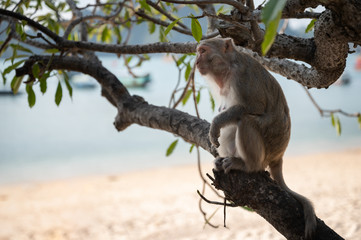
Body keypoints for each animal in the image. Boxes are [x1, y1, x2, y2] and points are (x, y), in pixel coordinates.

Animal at [195, 38, 316, 239]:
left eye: (203, 51)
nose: (196, 61)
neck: (227, 69)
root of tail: (279, 156)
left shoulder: (243, 79)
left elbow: (253, 107)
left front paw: (216, 123)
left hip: (268, 148)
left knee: (246, 121)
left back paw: (247, 165)